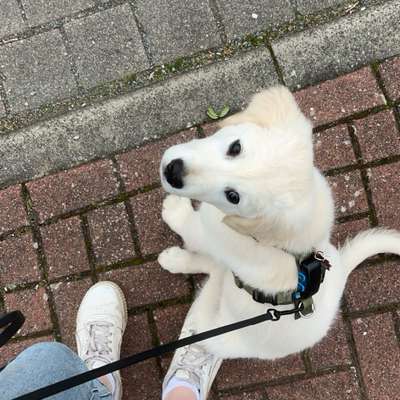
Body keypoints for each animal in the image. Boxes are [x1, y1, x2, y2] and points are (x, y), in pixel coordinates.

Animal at [156, 86, 400, 360]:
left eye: (233, 196)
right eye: (235, 147)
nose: (173, 172)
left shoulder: (209, 232)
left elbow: (190, 227)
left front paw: (175, 210)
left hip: (210, 324)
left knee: (213, 273)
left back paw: (175, 259)